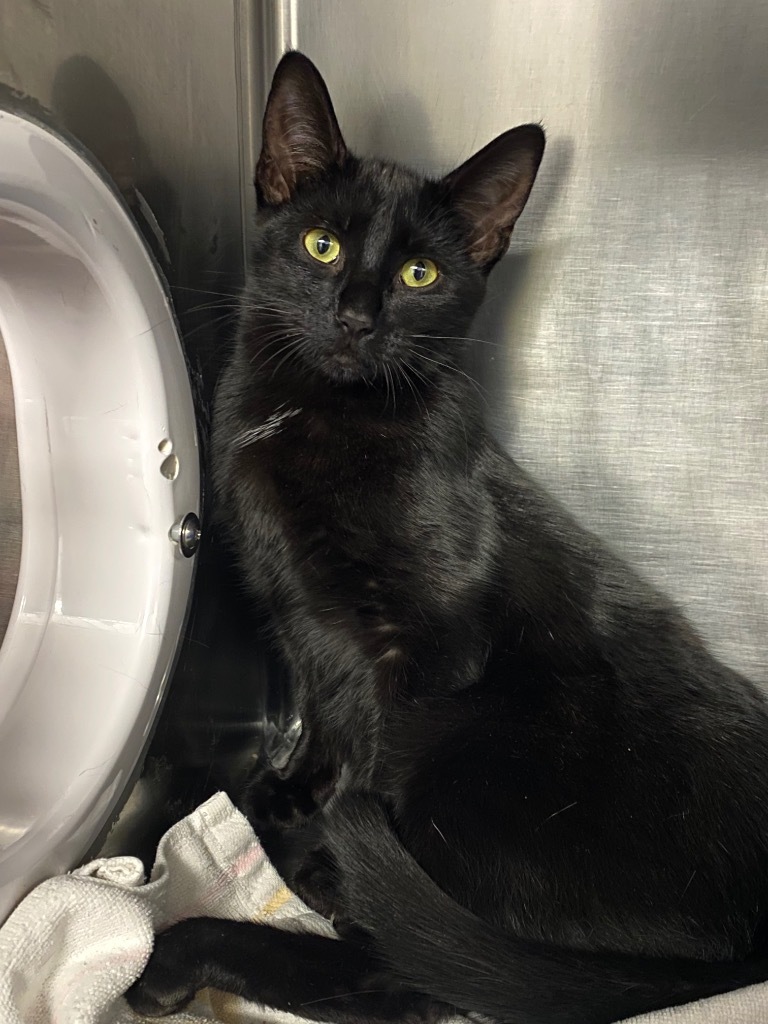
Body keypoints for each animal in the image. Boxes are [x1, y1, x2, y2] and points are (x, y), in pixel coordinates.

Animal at [129, 54, 768, 1024]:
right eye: (321, 245)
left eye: (421, 273)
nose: (357, 316)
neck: (321, 414)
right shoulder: (304, 619)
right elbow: (326, 712)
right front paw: (298, 790)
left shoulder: (424, 649)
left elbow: (367, 764)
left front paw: (327, 849)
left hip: (467, 749)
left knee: (408, 979)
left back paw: (194, 946)